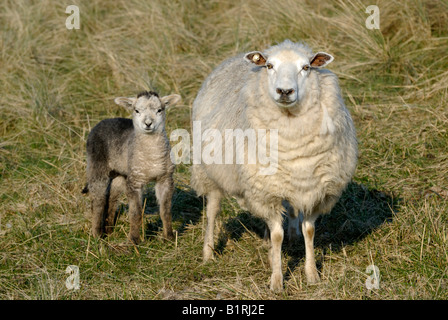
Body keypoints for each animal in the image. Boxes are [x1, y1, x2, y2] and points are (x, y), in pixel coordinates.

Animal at [83, 91, 181, 244]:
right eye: (137, 110)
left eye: (159, 110)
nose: (148, 123)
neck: (152, 158)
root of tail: (103, 121)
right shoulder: (135, 181)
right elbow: (135, 213)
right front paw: (134, 240)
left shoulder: (165, 178)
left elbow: (165, 211)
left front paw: (169, 237)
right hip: (96, 165)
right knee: (98, 200)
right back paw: (97, 235)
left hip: (120, 173)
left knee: (111, 198)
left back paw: (109, 229)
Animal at [191, 38, 358, 292]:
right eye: (269, 66)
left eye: (306, 67)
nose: (285, 91)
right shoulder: (266, 192)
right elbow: (277, 235)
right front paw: (277, 280)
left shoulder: (315, 190)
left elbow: (309, 230)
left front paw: (312, 274)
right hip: (209, 173)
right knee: (212, 211)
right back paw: (208, 253)